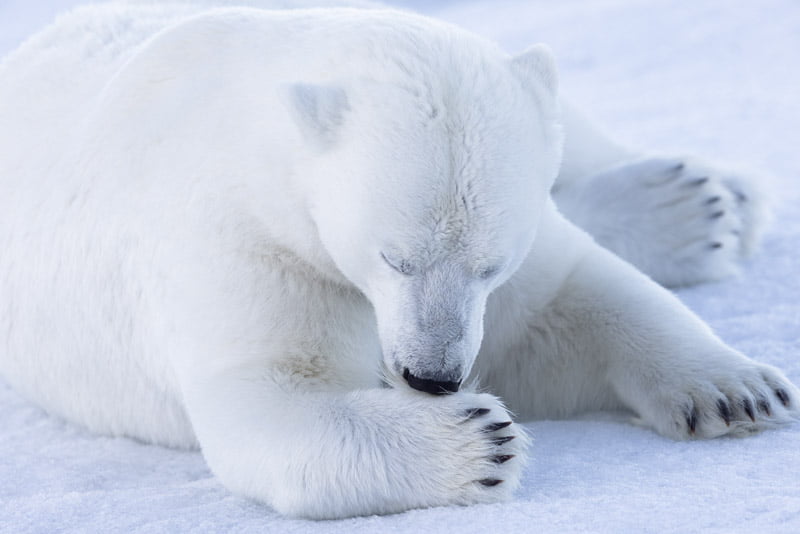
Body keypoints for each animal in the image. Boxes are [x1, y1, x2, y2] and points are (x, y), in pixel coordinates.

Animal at [0, 0, 796, 520]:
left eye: (490, 265)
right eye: (392, 257)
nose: (432, 377)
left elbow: (564, 302)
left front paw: (739, 391)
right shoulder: (241, 245)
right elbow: (268, 394)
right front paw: (479, 442)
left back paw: (713, 196)